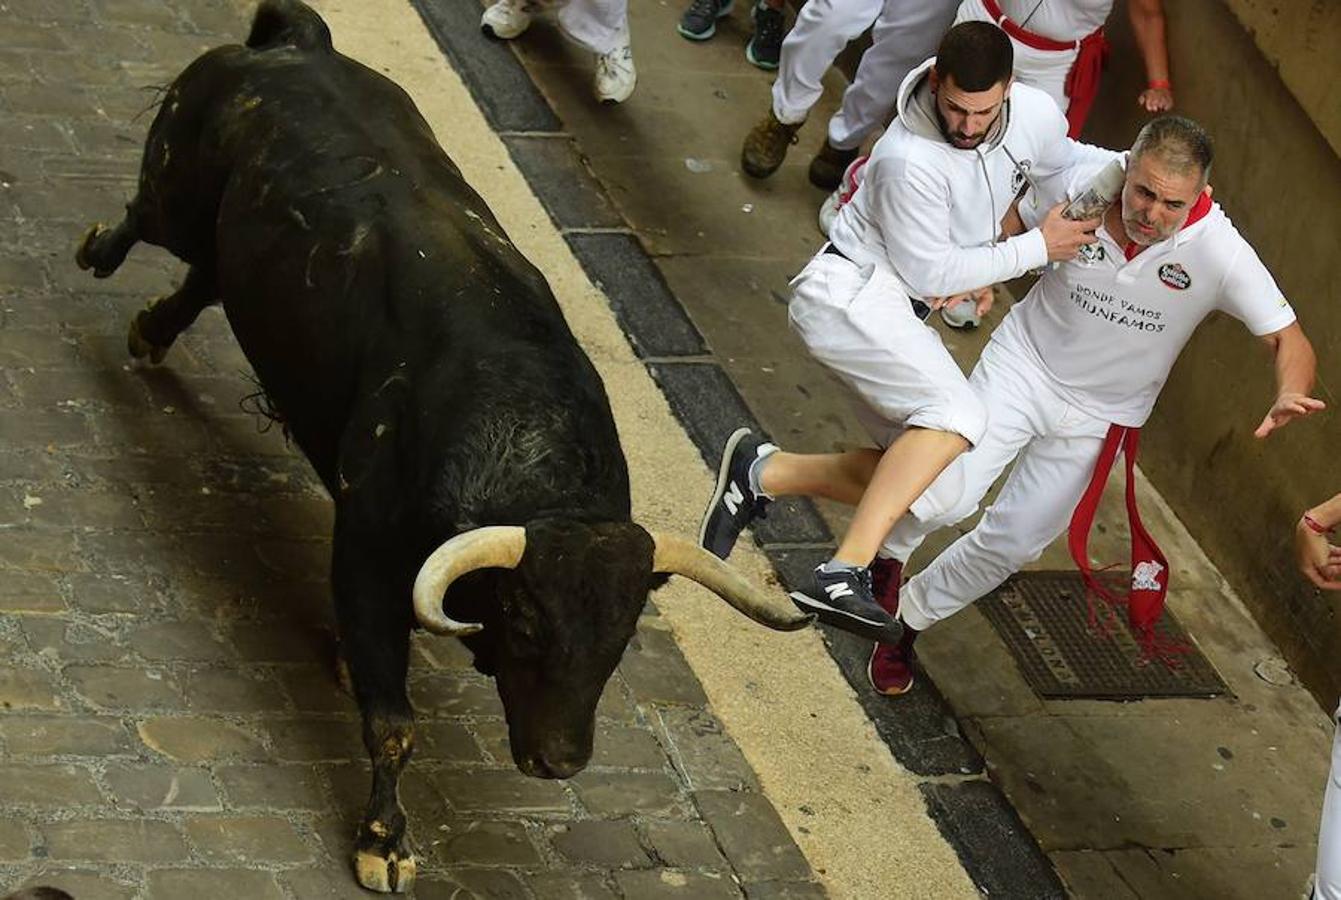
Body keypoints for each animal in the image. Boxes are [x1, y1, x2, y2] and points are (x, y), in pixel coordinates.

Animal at [78, 0, 809, 885]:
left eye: (623, 635)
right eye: (527, 622)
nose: (559, 761)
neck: (524, 434)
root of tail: (298, 45)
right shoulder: (363, 549)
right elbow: (393, 722)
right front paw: (384, 841)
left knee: (207, 278)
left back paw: (152, 331)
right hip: (178, 194)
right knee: (144, 222)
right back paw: (99, 254)